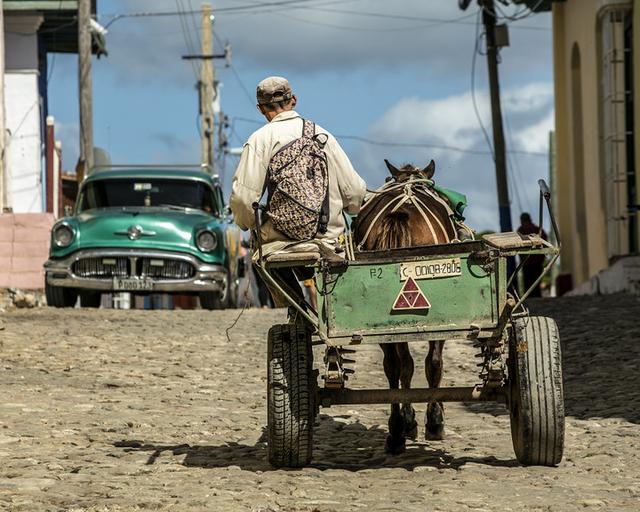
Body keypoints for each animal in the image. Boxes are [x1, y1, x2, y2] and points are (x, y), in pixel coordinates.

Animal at [352, 158, 458, 454]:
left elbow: (402, 366)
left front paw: (408, 422)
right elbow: (431, 364)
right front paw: (431, 421)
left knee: (394, 367)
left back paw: (397, 431)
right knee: (428, 362)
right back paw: (426, 422)